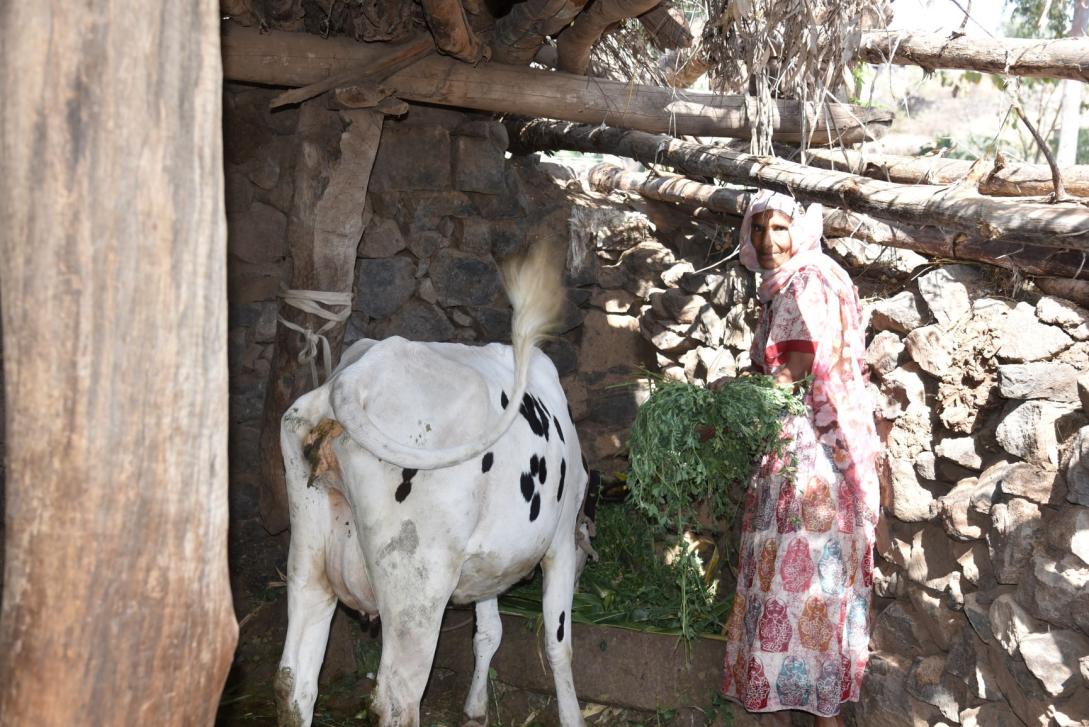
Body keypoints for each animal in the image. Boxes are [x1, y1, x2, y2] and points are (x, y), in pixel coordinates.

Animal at [276, 245, 592, 727]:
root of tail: (354, 377)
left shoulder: (487, 563)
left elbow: (489, 631)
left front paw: (476, 707)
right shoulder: (557, 542)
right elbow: (559, 645)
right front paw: (572, 715)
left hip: (309, 559)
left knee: (294, 686)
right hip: (418, 591)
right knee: (397, 699)